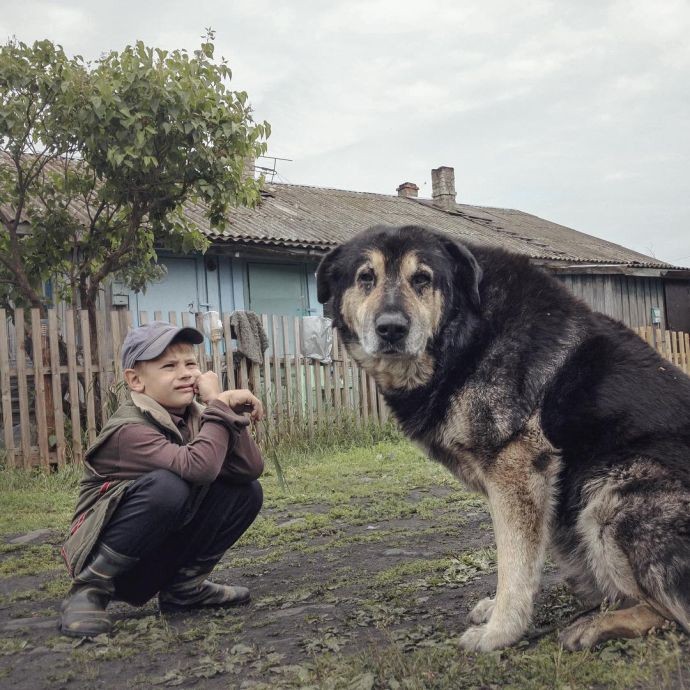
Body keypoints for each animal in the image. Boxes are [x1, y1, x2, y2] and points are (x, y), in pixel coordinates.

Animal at [316, 223, 688, 648]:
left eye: (422, 279)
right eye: (366, 277)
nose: (391, 328)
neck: (466, 330)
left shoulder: (516, 469)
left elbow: (513, 560)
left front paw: (500, 632)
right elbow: (522, 558)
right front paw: (499, 612)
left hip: (609, 493)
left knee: (673, 613)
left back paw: (596, 625)